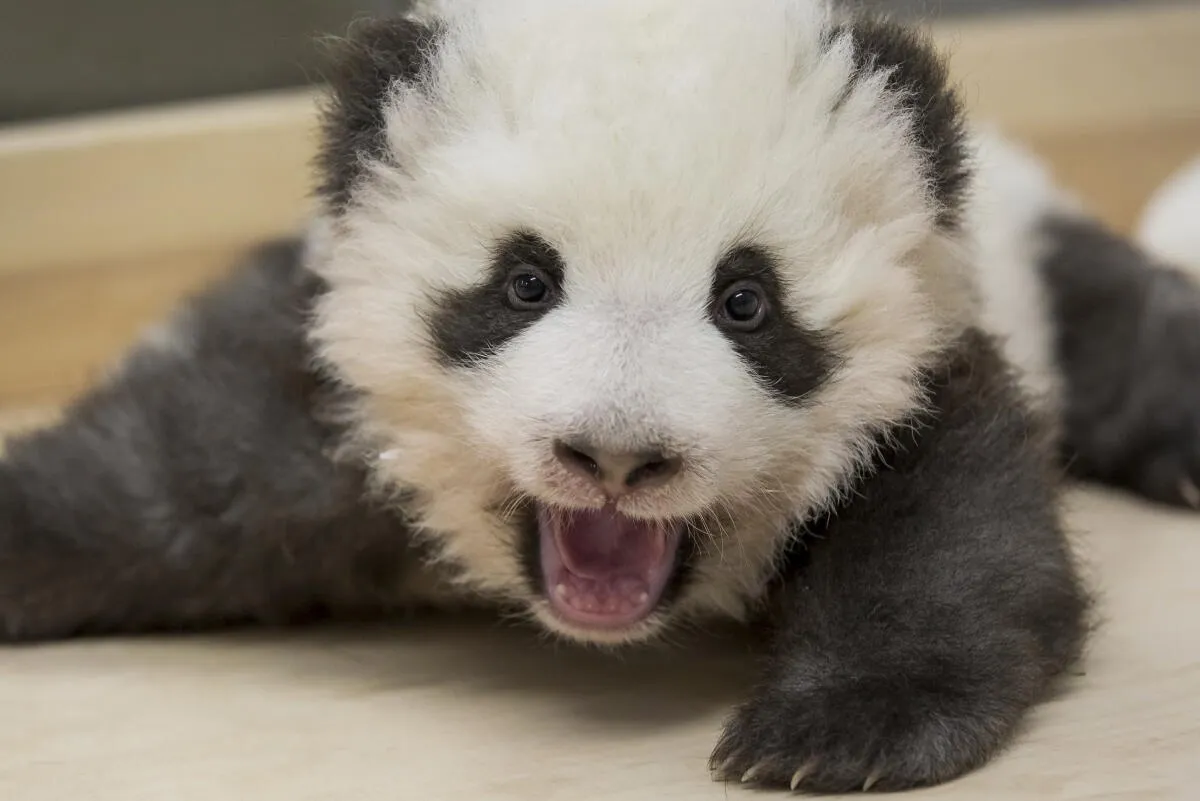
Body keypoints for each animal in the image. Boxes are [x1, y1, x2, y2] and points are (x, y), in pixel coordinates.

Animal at [3, 0, 1199, 794]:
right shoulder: (336, 411)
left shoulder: (921, 374)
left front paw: (836, 728)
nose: (616, 459)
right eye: (524, 282)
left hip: (1044, 263)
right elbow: (166, 479)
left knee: (1133, 331)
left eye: (746, 300)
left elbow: (958, 545)